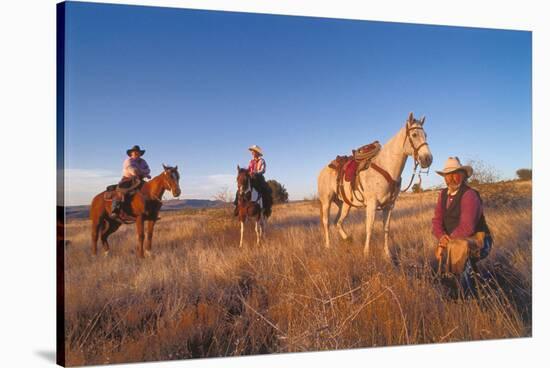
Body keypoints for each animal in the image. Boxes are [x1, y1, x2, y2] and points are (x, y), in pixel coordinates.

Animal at [322, 113, 434, 258]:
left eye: (425, 135)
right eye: (414, 134)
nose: (428, 159)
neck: (386, 167)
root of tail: (323, 170)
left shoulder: (389, 206)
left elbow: (386, 229)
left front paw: (387, 254)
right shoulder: (372, 204)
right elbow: (369, 227)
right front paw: (366, 254)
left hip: (344, 204)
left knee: (338, 222)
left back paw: (347, 239)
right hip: (326, 201)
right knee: (327, 223)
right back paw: (328, 246)